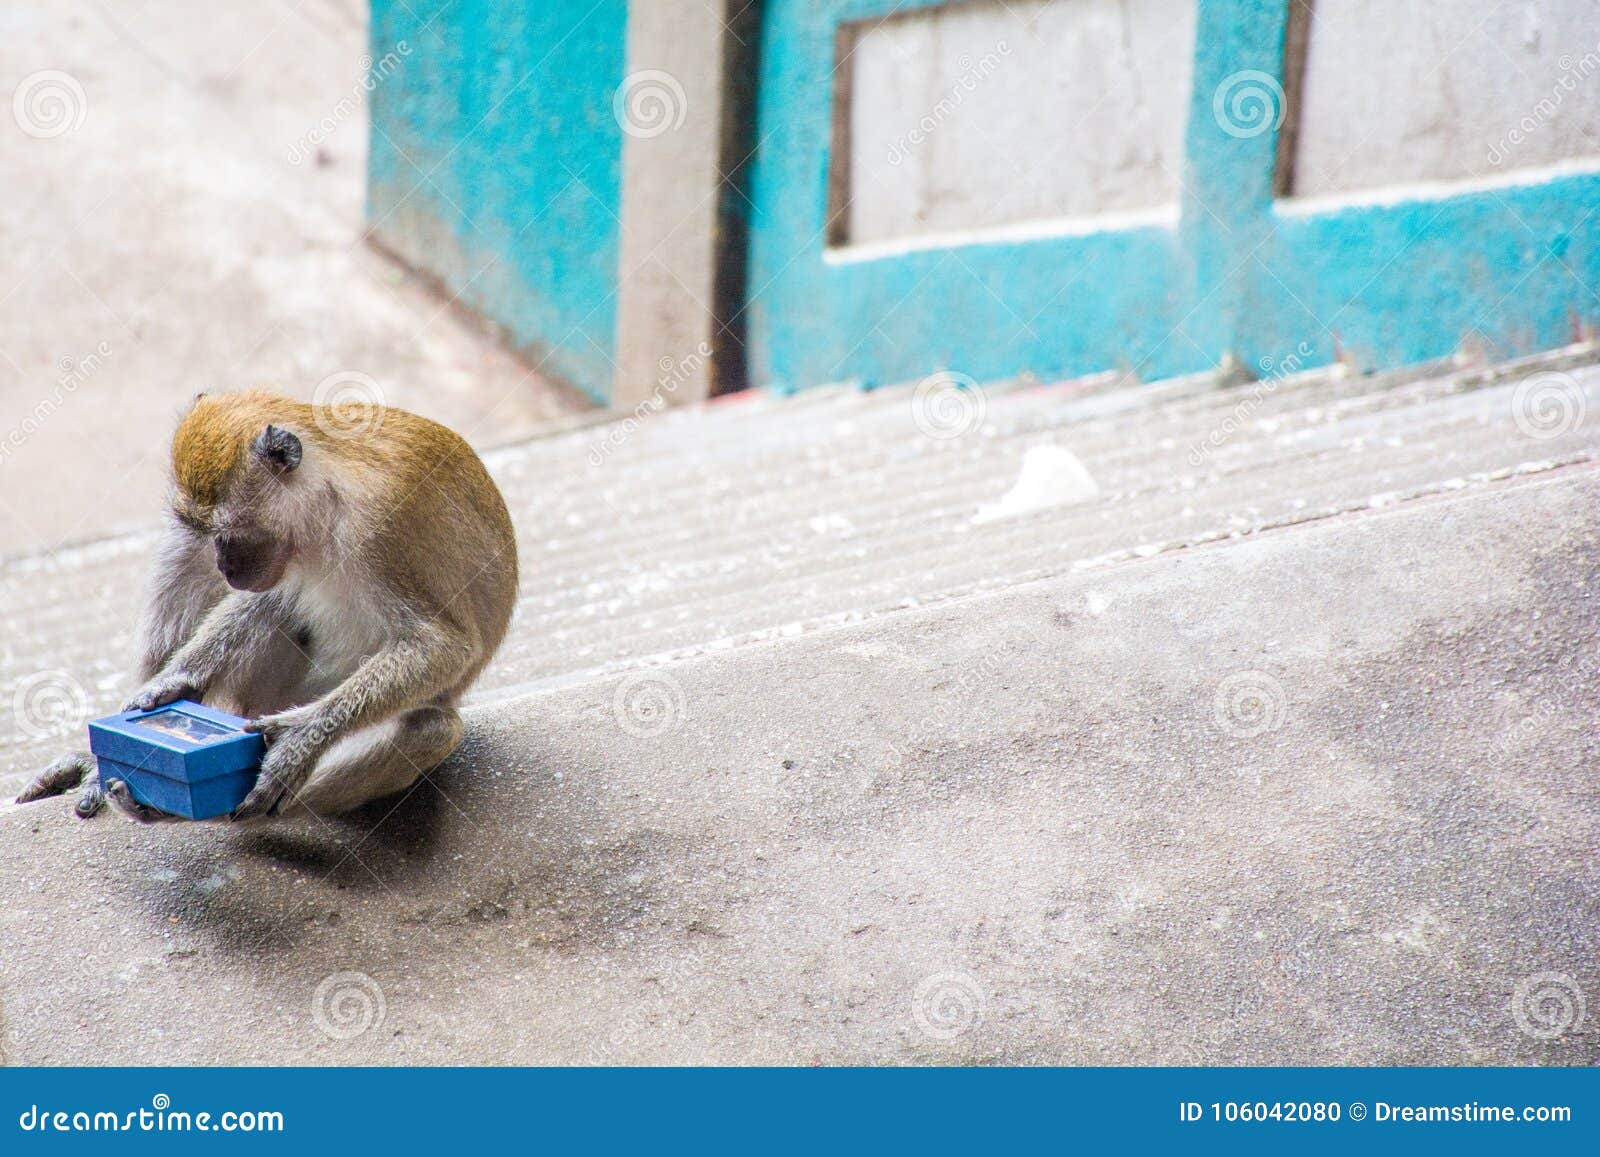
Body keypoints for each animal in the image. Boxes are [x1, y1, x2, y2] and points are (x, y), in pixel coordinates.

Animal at [17, 388, 518, 825]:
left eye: (228, 534)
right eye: (206, 531)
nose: (224, 567)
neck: (328, 494)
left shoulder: (381, 526)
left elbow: (443, 646)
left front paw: (300, 738)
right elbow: (269, 600)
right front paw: (175, 680)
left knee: (430, 731)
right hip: (249, 701)